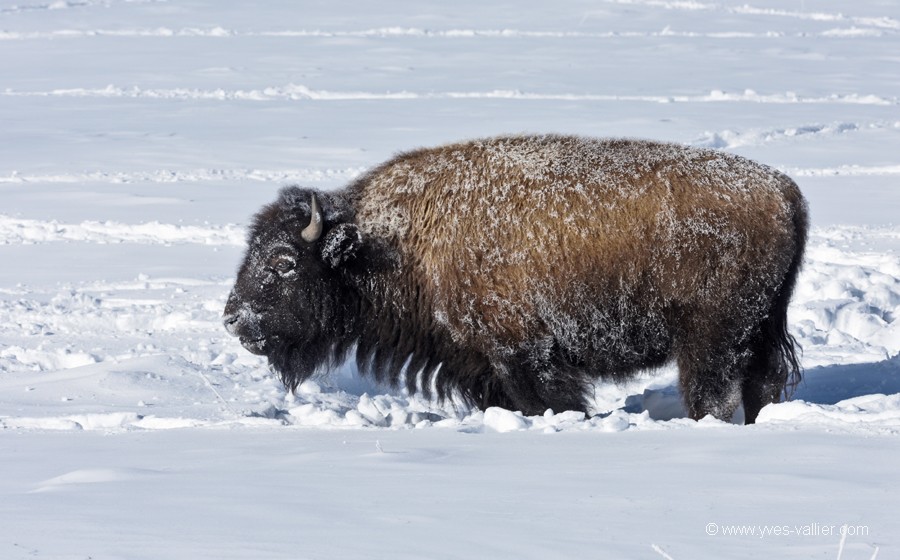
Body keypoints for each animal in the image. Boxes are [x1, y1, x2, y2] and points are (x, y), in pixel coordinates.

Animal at [225, 137, 808, 424]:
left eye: (284, 263)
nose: (233, 318)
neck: (391, 242)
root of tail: (783, 191)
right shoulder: (480, 364)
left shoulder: (524, 353)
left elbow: (550, 399)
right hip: (760, 329)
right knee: (761, 385)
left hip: (711, 339)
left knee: (713, 392)